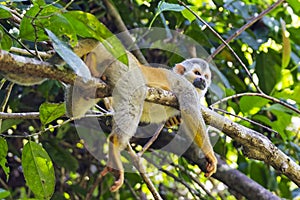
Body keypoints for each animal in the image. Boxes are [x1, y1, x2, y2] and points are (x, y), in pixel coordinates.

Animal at [72, 43, 217, 191]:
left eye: (206, 76)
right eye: (197, 73)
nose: (203, 80)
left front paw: (173, 120)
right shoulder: (186, 86)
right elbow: (190, 109)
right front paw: (210, 155)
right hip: (126, 68)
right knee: (136, 95)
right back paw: (115, 142)